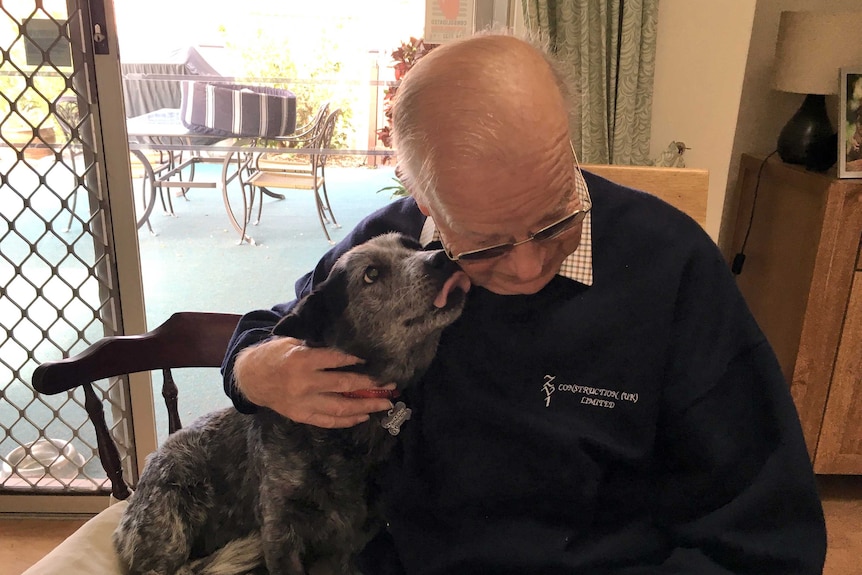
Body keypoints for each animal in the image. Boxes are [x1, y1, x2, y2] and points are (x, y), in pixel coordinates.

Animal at [115, 234, 472, 575]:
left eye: (413, 246)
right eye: (371, 274)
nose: (441, 258)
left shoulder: (354, 538)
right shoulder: (279, 532)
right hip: (171, 523)